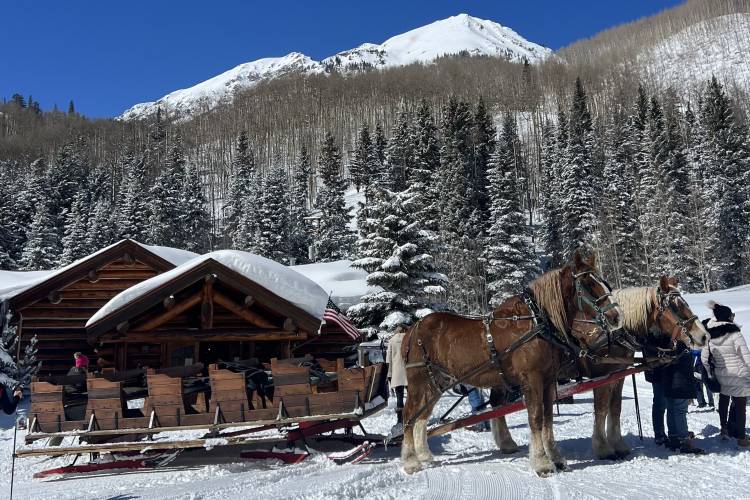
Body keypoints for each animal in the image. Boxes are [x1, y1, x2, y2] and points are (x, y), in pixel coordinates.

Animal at [402, 254, 624, 476]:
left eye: (603, 282)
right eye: (588, 283)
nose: (616, 317)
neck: (537, 322)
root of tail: (412, 329)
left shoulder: (548, 379)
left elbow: (548, 419)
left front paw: (556, 458)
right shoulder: (531, 378)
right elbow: (536, 417)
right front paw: (542, 463)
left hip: (436, 383)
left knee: (422, 417)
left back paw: (424, 455)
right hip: (418, 382)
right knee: (408, 415)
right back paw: (411, 461)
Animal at [494, 276, 712, 458]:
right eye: (675, 306)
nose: (703, 336)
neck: (613, 333)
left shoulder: (618, 374)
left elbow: (615, 408)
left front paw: (618, 444)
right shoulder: (602, 376)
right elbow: (601, 409)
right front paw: (603, 447)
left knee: (496, 406)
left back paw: (505, 443)